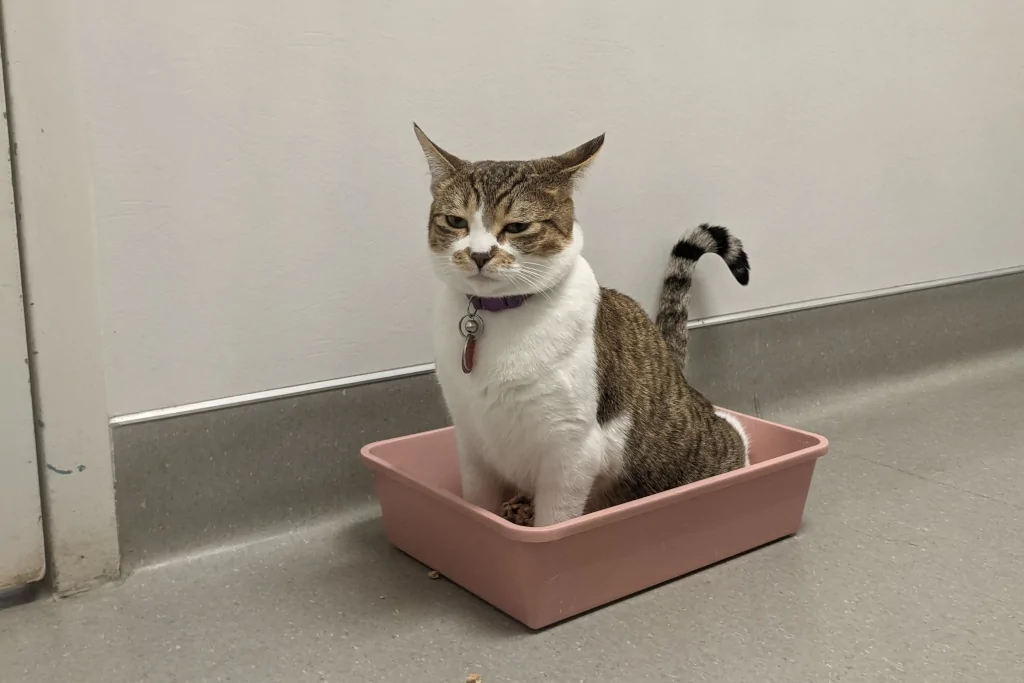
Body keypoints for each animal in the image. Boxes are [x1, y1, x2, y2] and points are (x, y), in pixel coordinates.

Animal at [415, 124, 753, 528]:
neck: (498, 317)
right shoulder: (470, 440)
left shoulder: (571, 450)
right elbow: (478, 504)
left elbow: (554, 521)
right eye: (455, 221)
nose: (479, 255)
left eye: (517, 226)